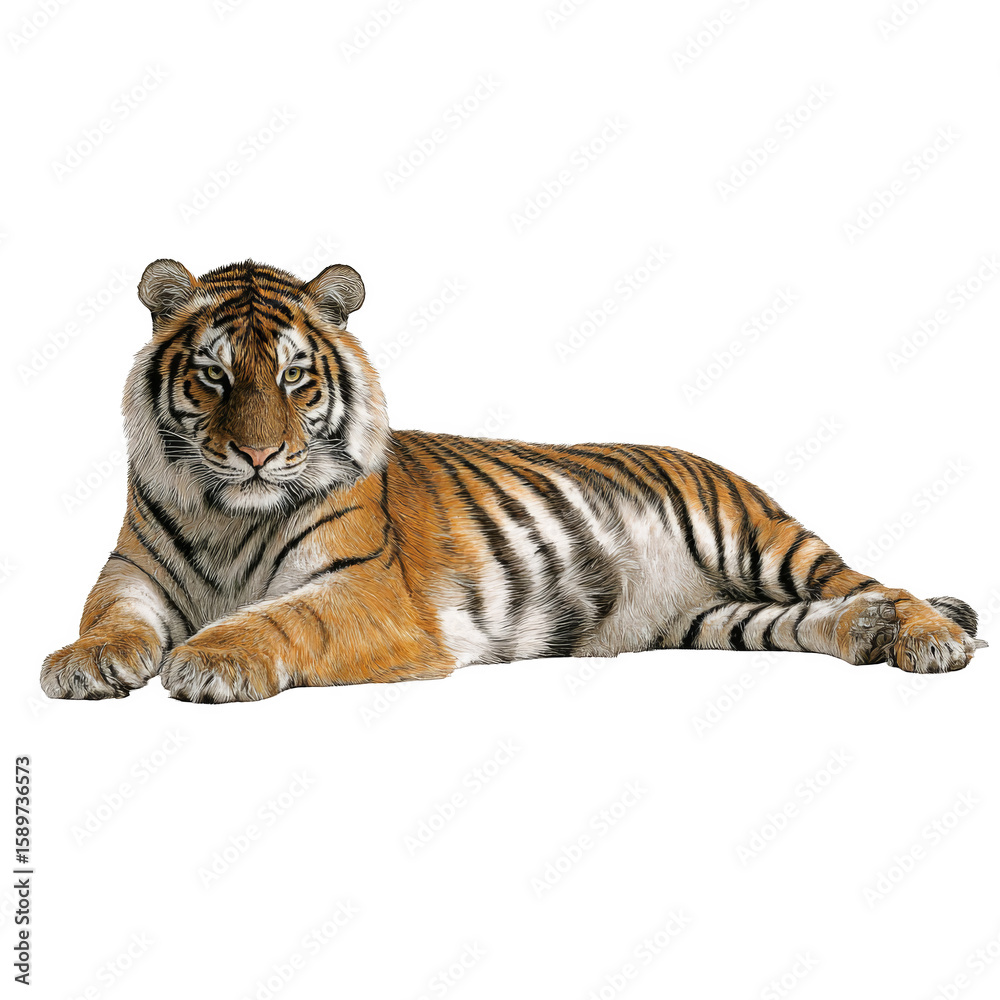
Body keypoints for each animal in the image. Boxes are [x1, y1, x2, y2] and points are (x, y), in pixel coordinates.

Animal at [40, 258, 987, 702]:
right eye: (214, 378)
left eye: (294, 378)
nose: (258, 457)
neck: (227, 514)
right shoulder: (131, 573)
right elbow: (106, 620)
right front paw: (82, 665)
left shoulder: (364, 590)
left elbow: (282, 618)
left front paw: (207, 660)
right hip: (714, 618)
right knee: (817, 615)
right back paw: (865, 634)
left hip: (763, 540)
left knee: (880, 583)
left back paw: (929, 638)